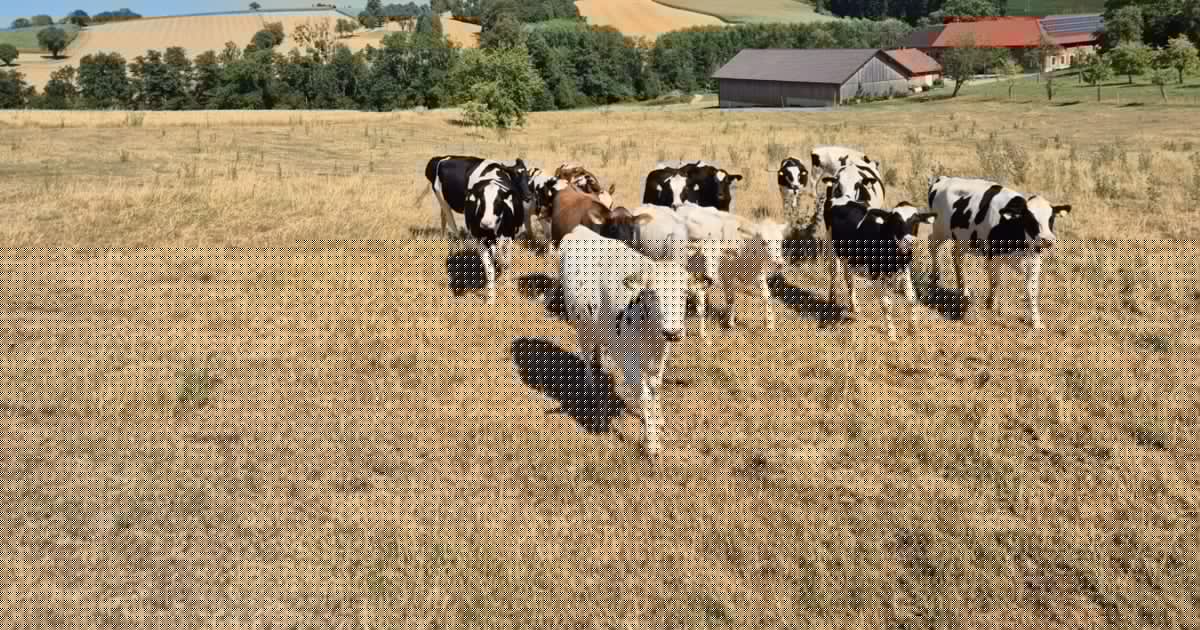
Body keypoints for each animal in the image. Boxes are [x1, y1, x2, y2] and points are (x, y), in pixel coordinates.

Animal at [558, 225, 690, 457]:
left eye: (684, 292)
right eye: (653, 293)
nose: (672, 332)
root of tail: (579, 230)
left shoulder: (661, 355)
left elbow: (656, 388)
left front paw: (659, 418)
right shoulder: (627, 360)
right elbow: (644, 395)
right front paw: (651, 443)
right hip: (581, 325)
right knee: (585, 353)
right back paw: (590, 382)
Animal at [673, 203, 787, 342]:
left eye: (780, 240)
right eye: (764, 241)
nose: (779, 263)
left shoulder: (758, 274)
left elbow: (767, 296)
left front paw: (769, 324)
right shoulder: (727, 275)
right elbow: (731, 298)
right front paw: (730, 323)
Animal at [821, 181, 936, 341]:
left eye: (916, 221)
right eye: (896, 221)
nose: (909, 241)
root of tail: (838, 198)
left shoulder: (905, 269)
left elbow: (912, 298)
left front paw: (913, 328)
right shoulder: (875, 275)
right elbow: (886, 304)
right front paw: (891, 334)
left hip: (849, 256)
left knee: (849, 278)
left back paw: (854, 306)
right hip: (831, 245)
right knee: (834, 273)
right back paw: (832, 301)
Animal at [926, 176, 1072, 330]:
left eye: (1051, 218)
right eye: (1030, 219)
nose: (1047, 239)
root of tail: (943, 179)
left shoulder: (1034, 260)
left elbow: (1032, 291)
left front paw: (1036, 322)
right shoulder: (992, 255)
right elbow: (995, 281)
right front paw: (991, 304)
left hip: (964, 239)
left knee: (956, 256)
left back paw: (964, 291)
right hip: (940, 230)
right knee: (932, 245)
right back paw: (935, 279)